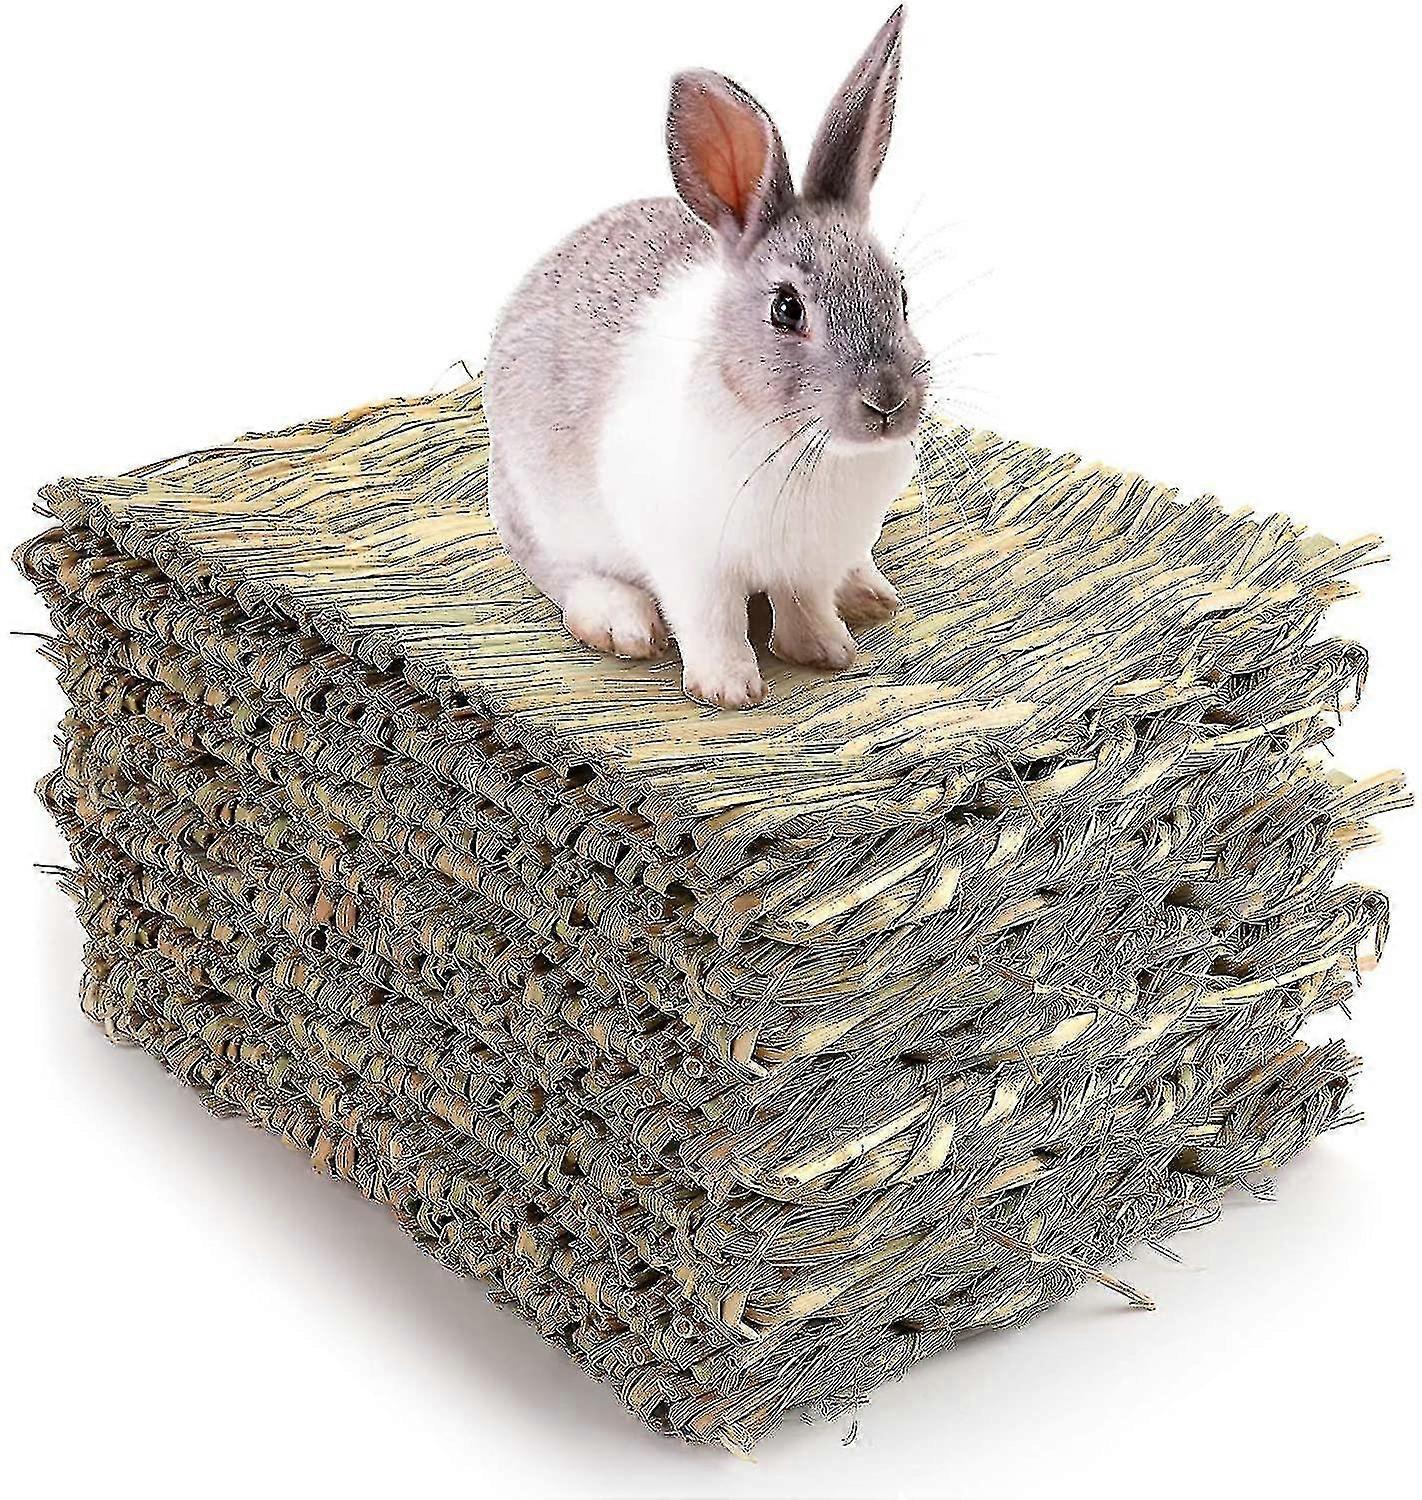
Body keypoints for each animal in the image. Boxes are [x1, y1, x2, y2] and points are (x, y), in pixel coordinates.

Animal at [484, 7, 927, 709]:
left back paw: (867, 592)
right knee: (561, 573)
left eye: (902, 293)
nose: (888, 401)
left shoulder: (807, 564)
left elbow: (803, 604)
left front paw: (827, 651)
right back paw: (624, 623)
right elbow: (711, 621)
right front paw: (730, 690)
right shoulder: (691, 564)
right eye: (786, 309)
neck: (800, 444)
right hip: (541, 513)